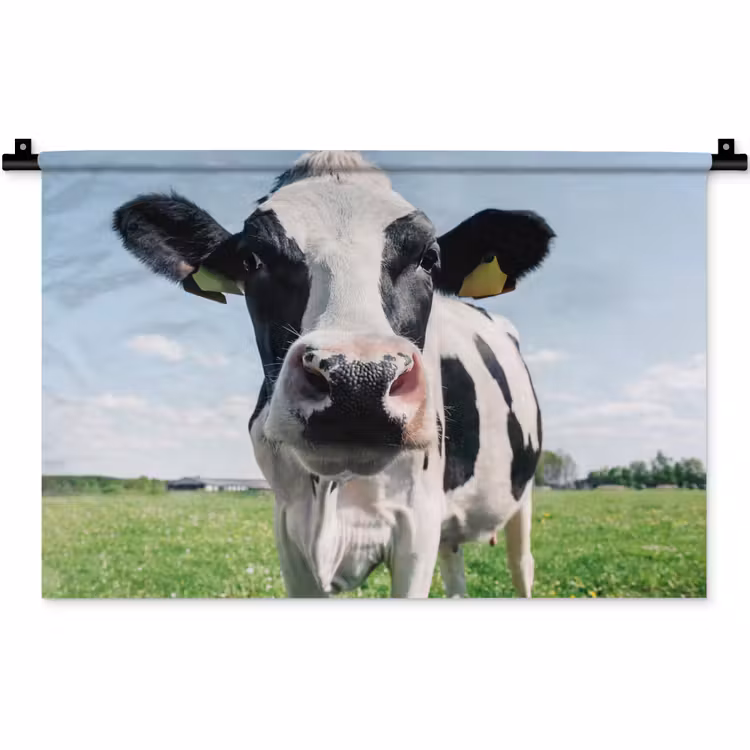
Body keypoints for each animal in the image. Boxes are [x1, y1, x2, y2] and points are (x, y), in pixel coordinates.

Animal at [113, 151, 554, 598]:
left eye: (429, 258)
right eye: (252, 260)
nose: (358, 382)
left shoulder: (418, 524)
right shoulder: (289, 528)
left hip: (522, 496)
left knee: (523, 565)